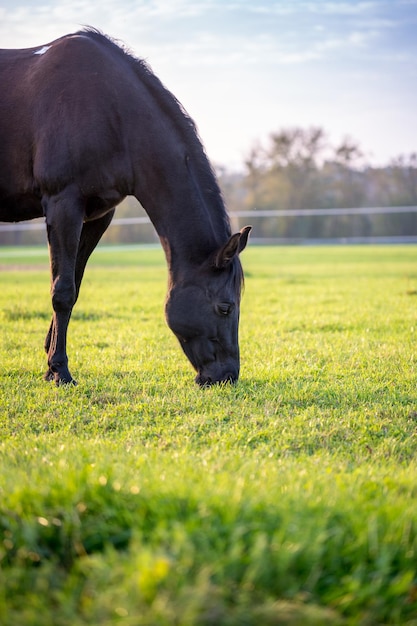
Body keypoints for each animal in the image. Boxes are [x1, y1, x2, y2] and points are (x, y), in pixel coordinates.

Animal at [0, 29, 250, 386]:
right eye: (225, 307)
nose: (227, 375)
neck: (108, 109)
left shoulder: (97, 215)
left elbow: (73, 284)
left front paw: (49, 362)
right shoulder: (63, 204)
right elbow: (62, 291)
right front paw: (60, 370)